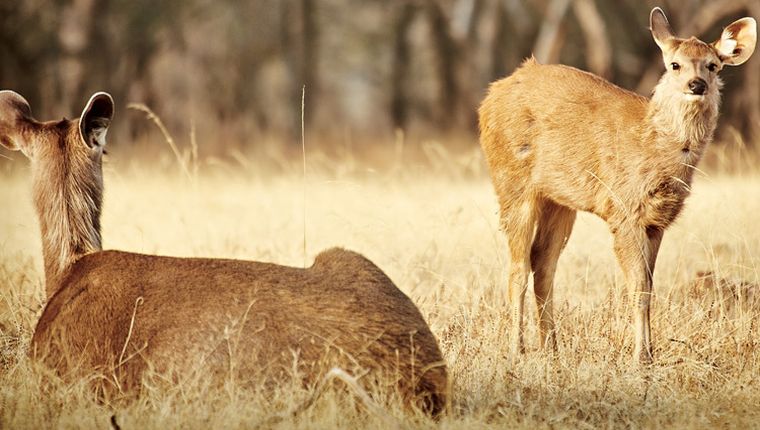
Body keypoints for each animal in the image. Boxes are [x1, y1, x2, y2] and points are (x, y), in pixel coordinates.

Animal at [478, 7, 756, 363]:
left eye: (713, 65)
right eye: (674, 64)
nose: (697, 85)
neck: (652, 144)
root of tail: (489, 97)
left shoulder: (657, 221)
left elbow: (649, 287)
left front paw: (649, 352)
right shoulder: (624, 211)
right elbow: (637, 288)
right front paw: (640, 357)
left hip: (559, 200)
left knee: (542, 264)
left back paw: (552, 349)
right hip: (512, 182)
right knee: (517, 268)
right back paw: (518, 350)